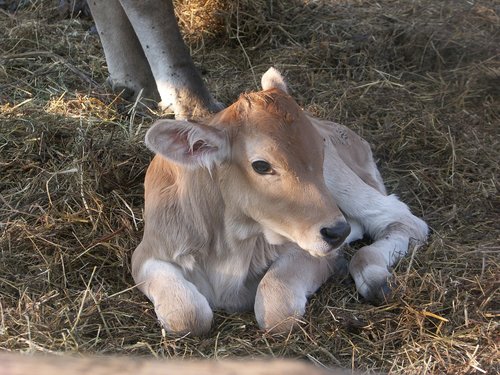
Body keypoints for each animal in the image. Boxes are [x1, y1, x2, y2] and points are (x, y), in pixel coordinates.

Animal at [131, 67, 428, 334]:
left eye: (319, 148)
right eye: (261, 166)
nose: (336, 232)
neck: (228, 243)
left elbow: (277, 309)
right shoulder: (146, 254)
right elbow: (187, 317)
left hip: (342, 181)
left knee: (403, 219)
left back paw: (373, 275)